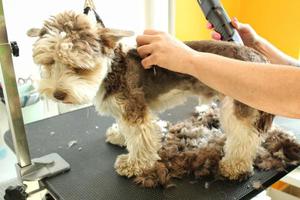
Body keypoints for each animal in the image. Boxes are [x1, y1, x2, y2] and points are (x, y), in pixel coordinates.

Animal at [28, 10, 274, 180]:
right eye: (49, 62)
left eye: (79, 67)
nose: (58, 94)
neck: (112, 70)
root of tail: (259, 59)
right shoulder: (124, 109)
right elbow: (126, 130)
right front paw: (119, 135)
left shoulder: (134, 109)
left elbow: (140, 139)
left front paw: (134, 164)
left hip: (238, 104)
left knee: (244, 137)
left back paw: (235, 165)